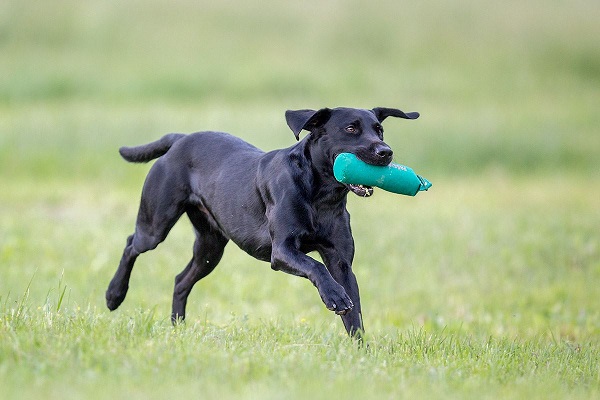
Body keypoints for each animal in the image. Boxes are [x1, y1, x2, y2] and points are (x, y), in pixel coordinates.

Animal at [105, 104, 418, 336]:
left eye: (379, 130)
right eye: (351, 128)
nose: (385, 152)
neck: (321, 195)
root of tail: (180, 139)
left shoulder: (341, 262)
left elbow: (354, 318)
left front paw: (361, 354)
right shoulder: (282, 251)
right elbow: (316, 267)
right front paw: (334, 296)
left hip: (210, 248)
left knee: (181, 280)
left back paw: (177, 329)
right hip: (156, 225)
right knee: (131, 244)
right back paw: (114, 294)